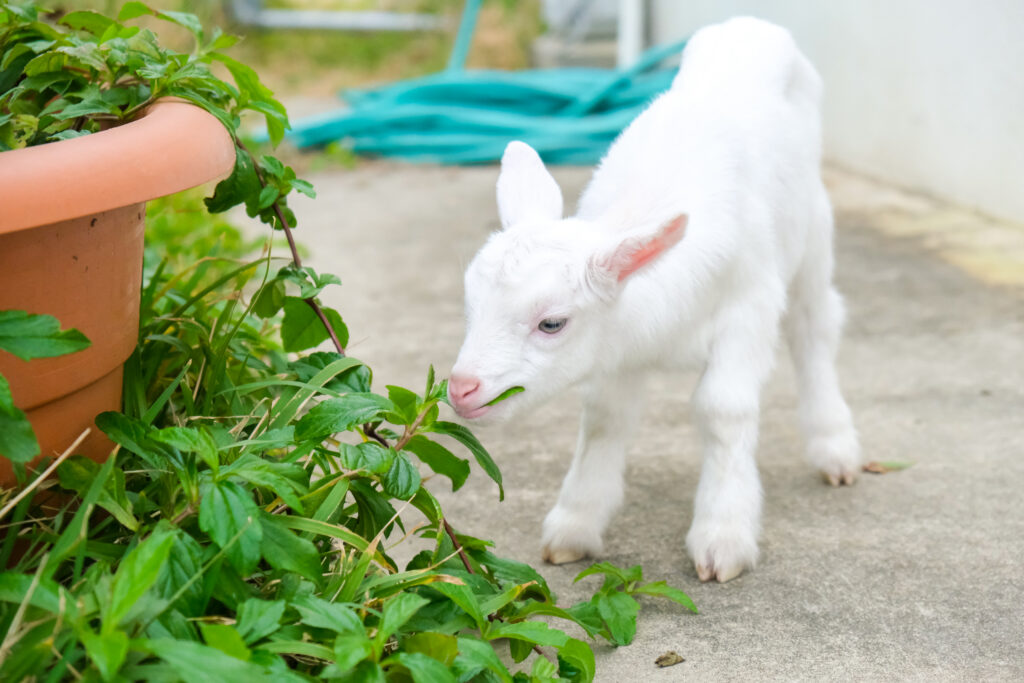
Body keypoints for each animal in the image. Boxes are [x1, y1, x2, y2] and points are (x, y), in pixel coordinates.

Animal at [446, 17, 856, 581]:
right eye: (470, 306)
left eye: (552, 323)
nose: (462, 389)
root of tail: (748, 24)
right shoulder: (618, 347)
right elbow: (603, 417)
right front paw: (574, 526)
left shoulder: (748, 307)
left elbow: (723, 408)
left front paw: (722, 537)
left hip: (813, 229)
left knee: (815, 325)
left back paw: (834, 447)